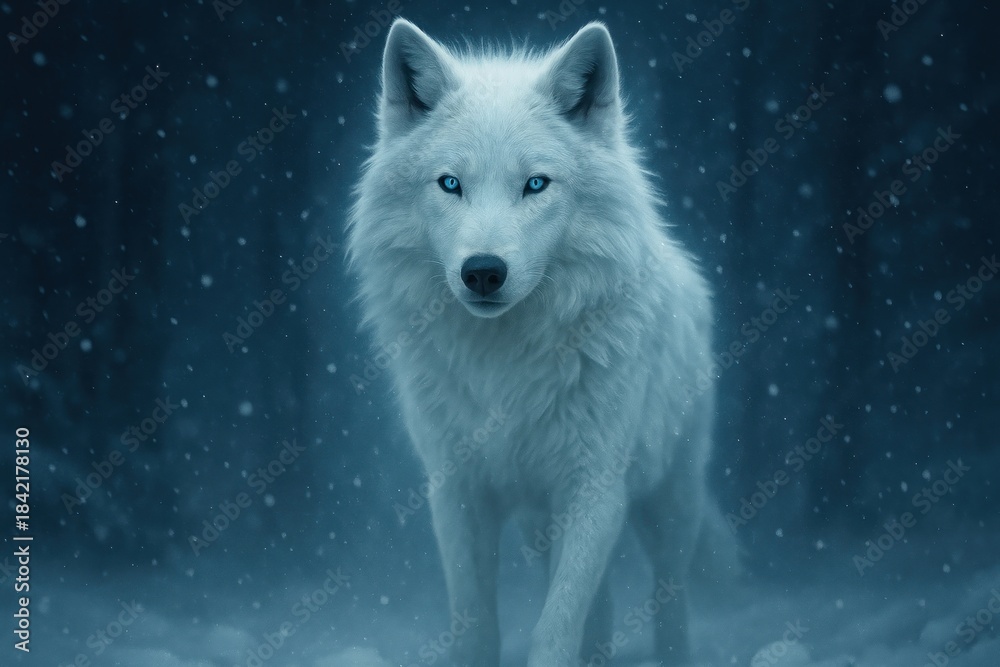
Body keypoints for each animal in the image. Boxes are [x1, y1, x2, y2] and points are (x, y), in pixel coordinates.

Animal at [347, 18, 737, 667]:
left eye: (535, 184)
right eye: (450, 183)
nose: (483, 271)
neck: (503, 366)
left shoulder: (593, 490)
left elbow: (554, 629)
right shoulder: (457, 492)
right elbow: (476, 626)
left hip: (668, 500)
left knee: (669, 595)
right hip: (539, 527)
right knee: (602, 607)